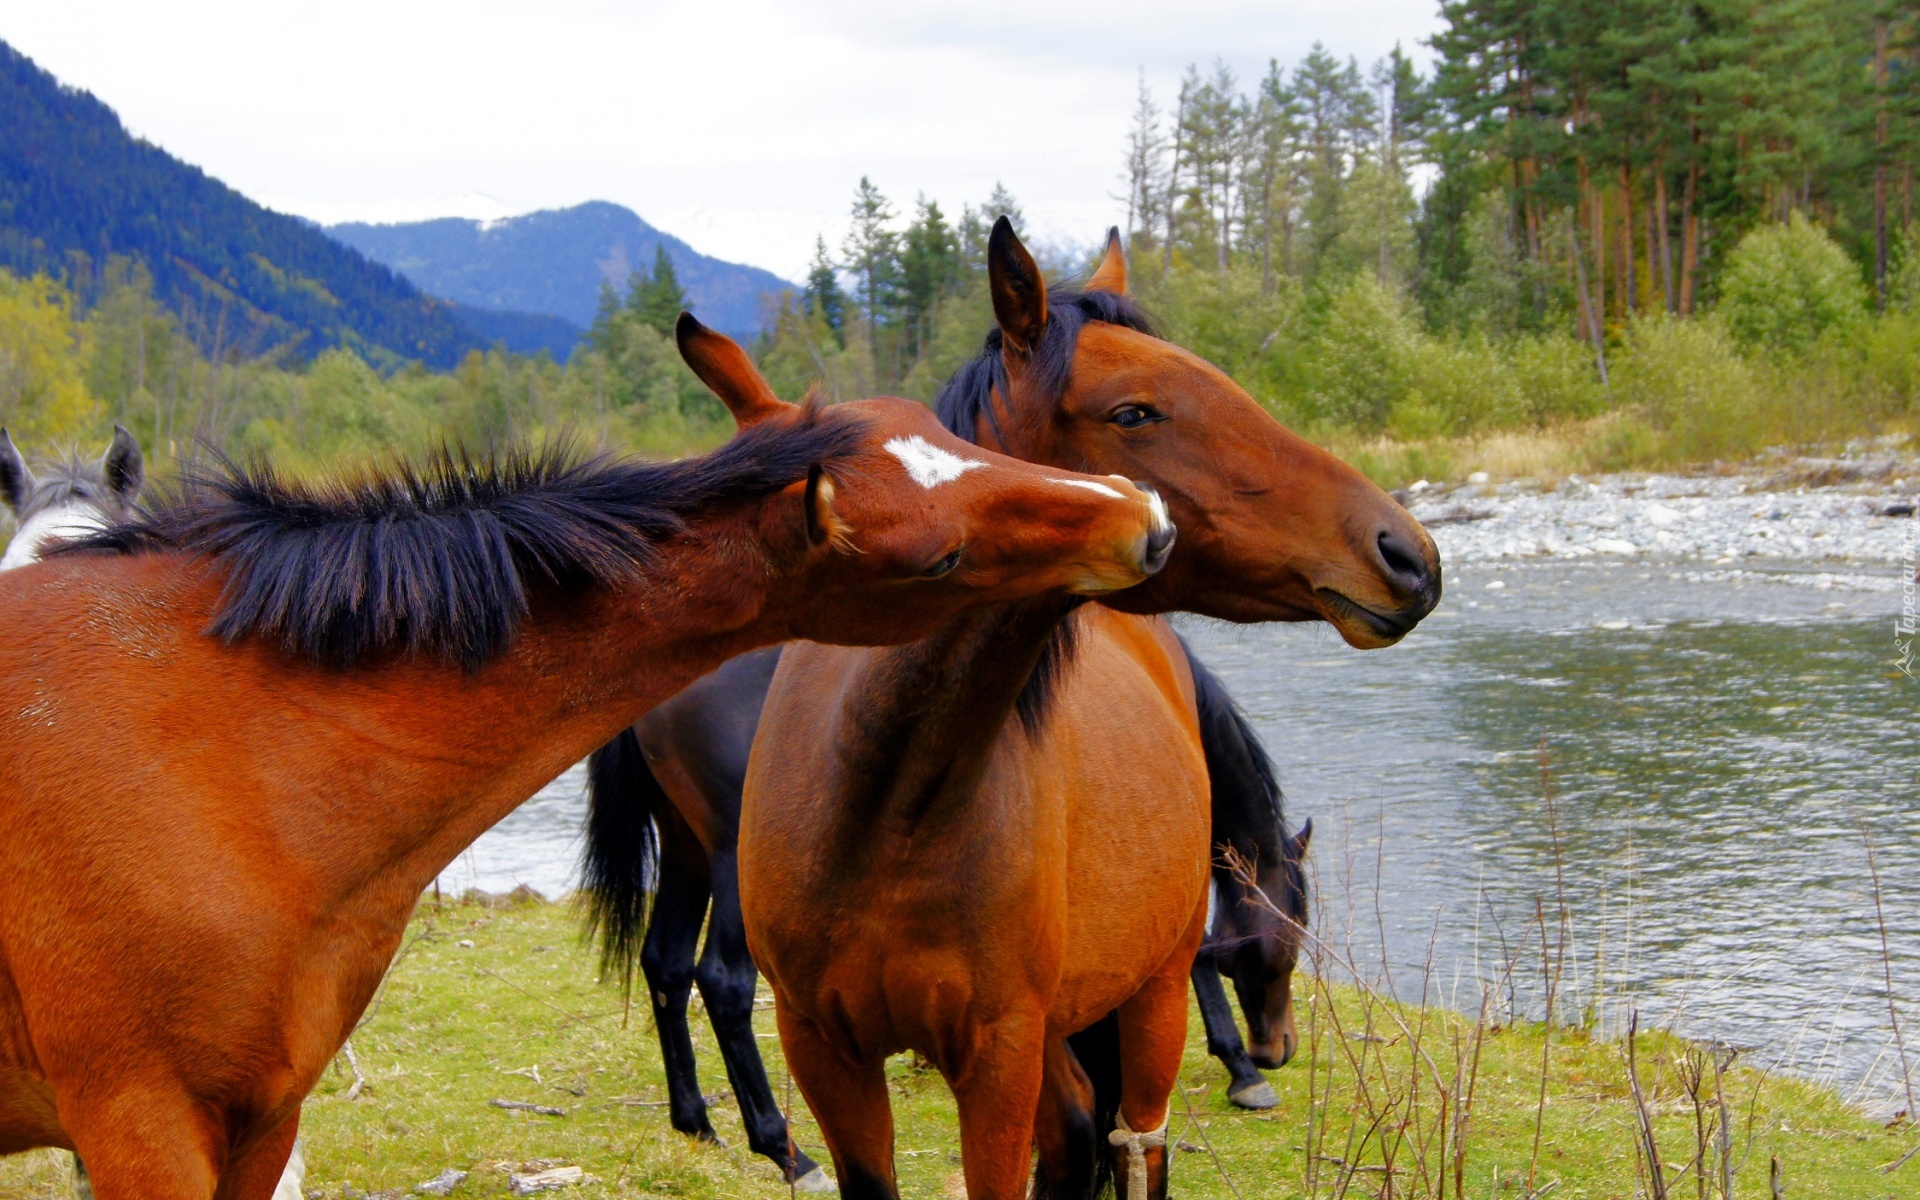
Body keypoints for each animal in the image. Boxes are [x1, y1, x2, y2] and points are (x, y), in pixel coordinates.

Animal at [583, 219, 1443, 1190]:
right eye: (1134, 412)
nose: (1405, 553)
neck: (884, 802)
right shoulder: (827, 1050)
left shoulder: (1002, 1056)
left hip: (1130, 1006)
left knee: (1128, 1142)